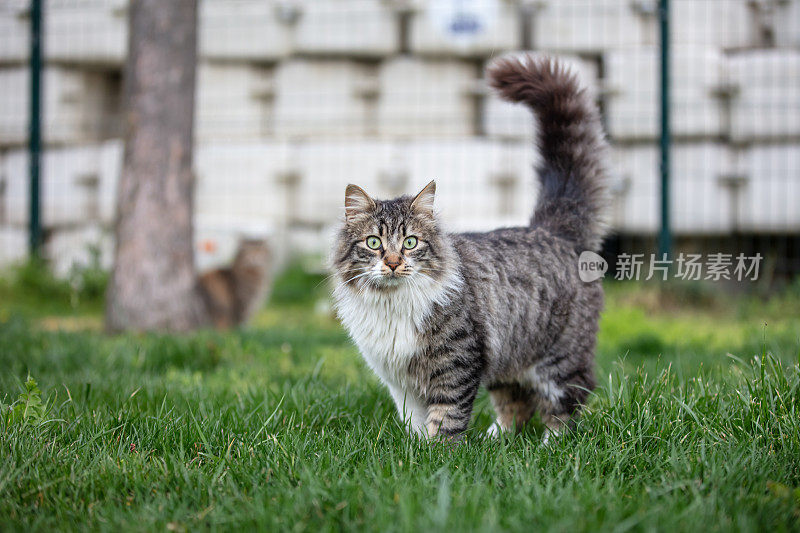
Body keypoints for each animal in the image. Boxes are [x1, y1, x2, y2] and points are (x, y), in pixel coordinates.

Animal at [332, 56, 608, 440]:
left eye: (410, 243)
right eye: (374, 243)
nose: (392, 263)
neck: (391, 305)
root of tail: (550, 229)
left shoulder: (456, 362)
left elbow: (446, 417)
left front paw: (438, 450)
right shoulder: (400, 381)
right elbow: (414, 421)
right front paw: (414, 449)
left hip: (559, 358)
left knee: (568, 402)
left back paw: (550, 444)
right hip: (508, 358)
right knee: (517, 404)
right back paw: (496, 440)